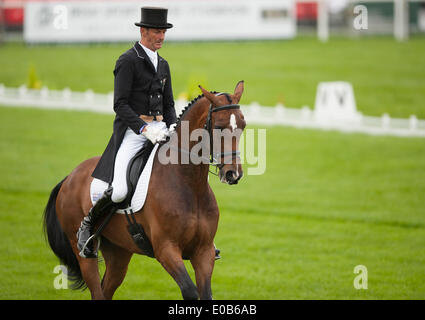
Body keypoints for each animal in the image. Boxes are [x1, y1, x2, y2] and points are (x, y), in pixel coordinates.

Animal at [43, 80, 245, 300]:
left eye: (243, 126)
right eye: (218, 127)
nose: (233, 174)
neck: (190, 185)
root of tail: (69, 177)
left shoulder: (204, 251)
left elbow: (206, 294)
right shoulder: (166, 249)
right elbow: (190, 291)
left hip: (119, 251)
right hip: (84, 252)